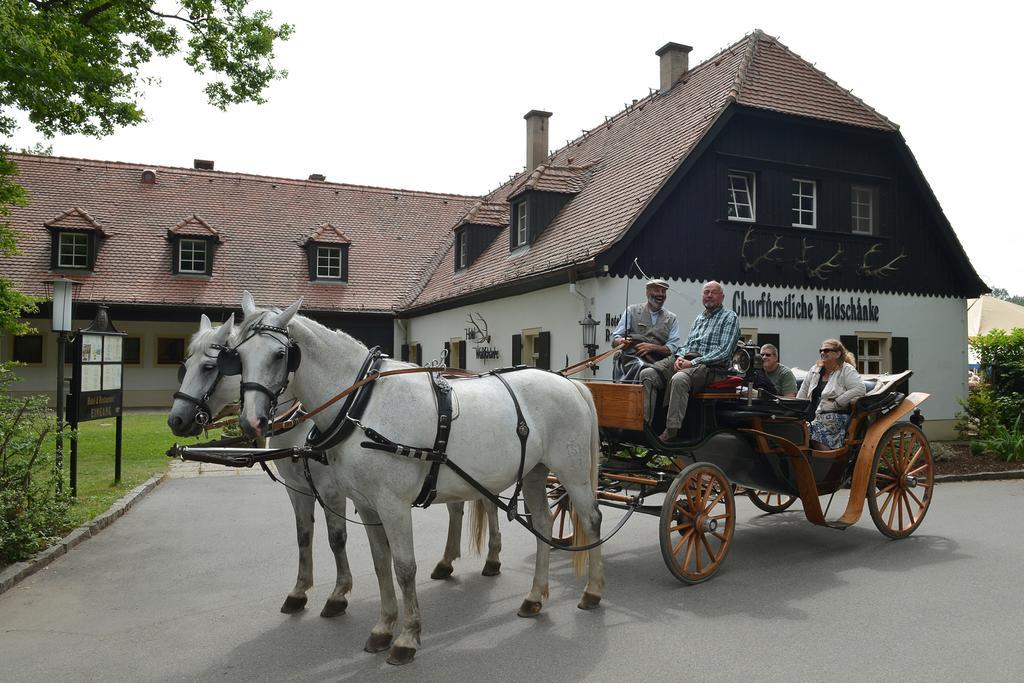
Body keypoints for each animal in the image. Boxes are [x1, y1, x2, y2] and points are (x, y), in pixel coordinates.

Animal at [167, 317, 503, 618]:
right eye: (186, 363)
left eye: (212, 366)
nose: (177, 420)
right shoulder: (298, 489)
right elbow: (304, 535)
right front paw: (299, 591)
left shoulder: (331, 491)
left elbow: (336, 537)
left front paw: (338, 594)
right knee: (458, 507)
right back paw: (447, 562)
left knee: (489, 502)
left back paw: (492, 559)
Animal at [228, 296, 602, 663]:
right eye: (237, 355)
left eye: (279, 355)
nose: (250, 422)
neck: (362, 406)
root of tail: (569, 382)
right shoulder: (366, 504)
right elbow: (381, 564)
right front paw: (383, 627)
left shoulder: (393, 505)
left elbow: (404, 567)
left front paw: (407, 637)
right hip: (535, 472)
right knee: (543, 523)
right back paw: (535, 596)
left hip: (572, 472)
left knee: (591, 519)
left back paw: (592, 592)